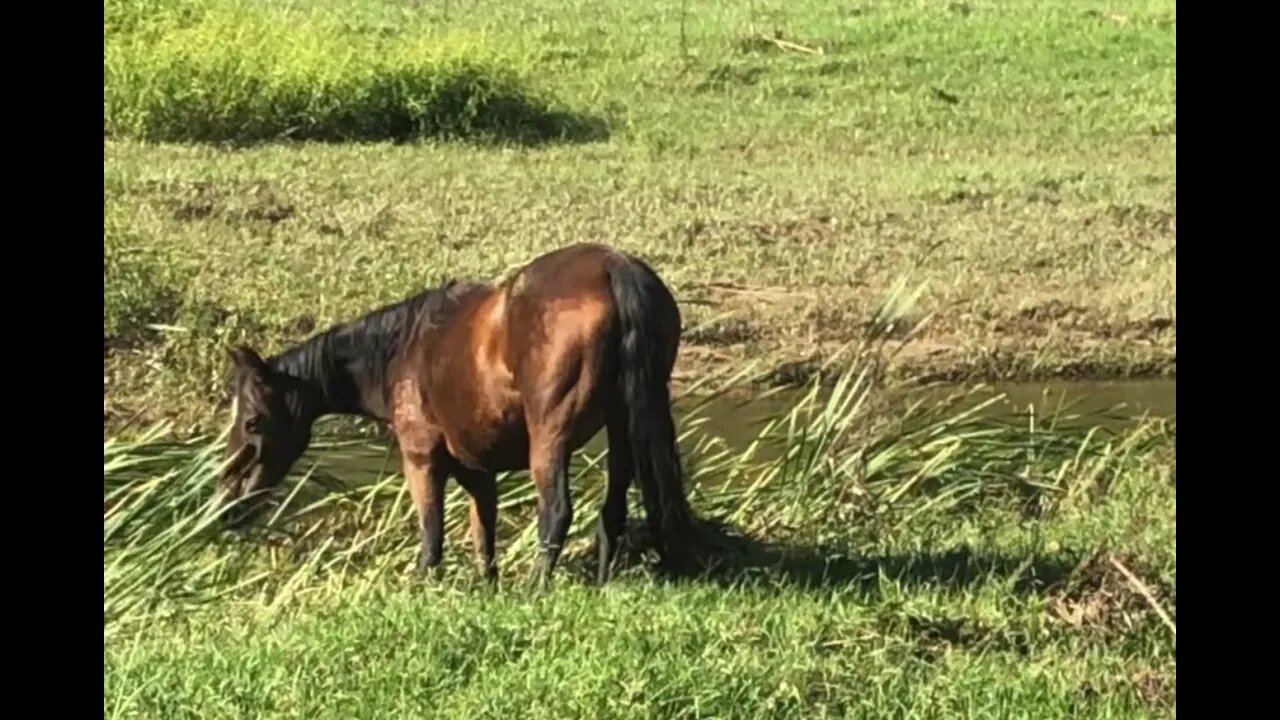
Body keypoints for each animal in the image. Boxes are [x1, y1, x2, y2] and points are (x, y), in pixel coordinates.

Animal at [216, 242, 696, 584]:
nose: (226, 504)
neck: (401, 350)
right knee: (611, 511)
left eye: (252, 421)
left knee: (556, 511)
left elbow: (432, 538)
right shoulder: (477, 471)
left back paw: (535, 589)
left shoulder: (422, 459)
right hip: (623, 426)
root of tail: (615, 269)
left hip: (551, 438)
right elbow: (484, 539)